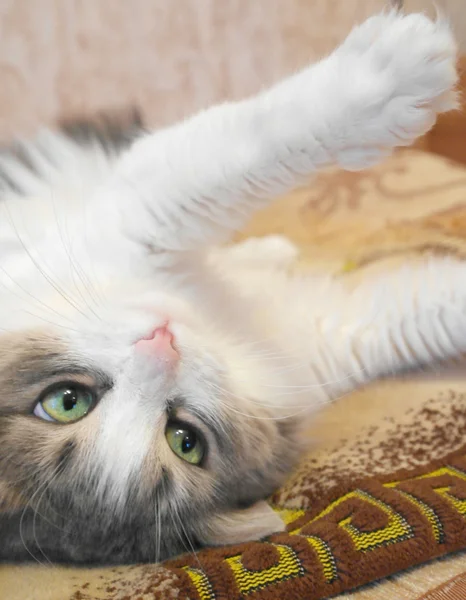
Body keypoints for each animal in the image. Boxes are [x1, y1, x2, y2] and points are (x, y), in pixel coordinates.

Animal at [0, 8, 462, 564]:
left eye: (65, 401)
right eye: (185, 440)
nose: (161, 344)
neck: (219, 320)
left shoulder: (132, 224)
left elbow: (237, 153)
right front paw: (396, 72)